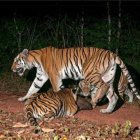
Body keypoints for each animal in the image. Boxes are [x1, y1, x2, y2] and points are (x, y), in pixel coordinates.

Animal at [11, 46, 140, 113]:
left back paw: (95, 100)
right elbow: (32, 88)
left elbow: (56, 89)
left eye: (16, 61)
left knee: (104, 86)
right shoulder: (40, 77)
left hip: (91, 73)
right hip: (108, 76)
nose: (11, 68)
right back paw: (107, 110)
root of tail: (112, 54)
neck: (35, 61)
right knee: (113, 96)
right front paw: (23, 98)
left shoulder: (54, 76)